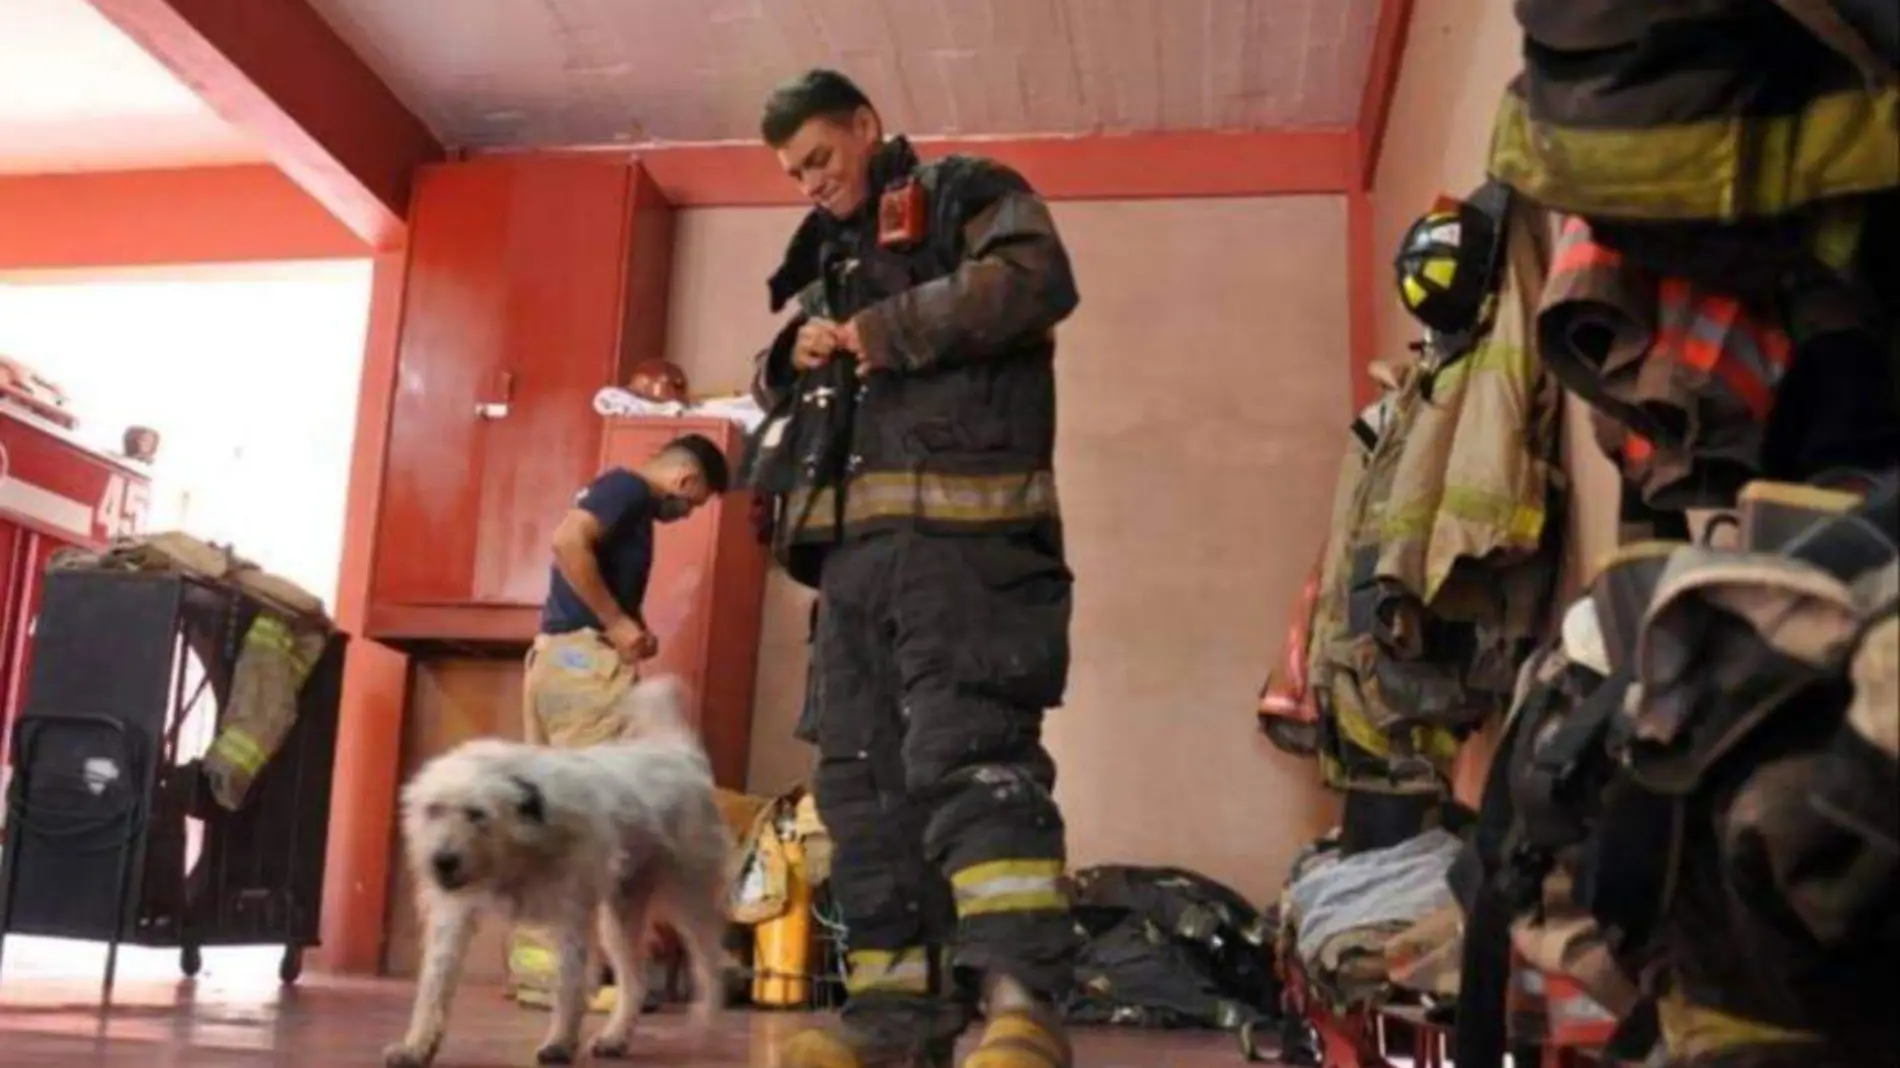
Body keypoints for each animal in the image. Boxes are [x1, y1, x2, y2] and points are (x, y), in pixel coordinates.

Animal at [385, 676, 733, 1056]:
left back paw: (707, 1025)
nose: (442, 862)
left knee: (709, 962)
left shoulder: (572, 919)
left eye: (477, 814)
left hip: (688, 901)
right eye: (433, 809)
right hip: (621, 918)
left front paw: (560, 1041)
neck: (523, 840)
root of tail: (680, 757)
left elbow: (569, 983)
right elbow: (435, 985)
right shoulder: (453, 919)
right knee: (635, 980)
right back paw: (616, 1036)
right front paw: (417, 1045)